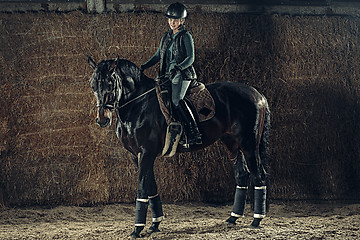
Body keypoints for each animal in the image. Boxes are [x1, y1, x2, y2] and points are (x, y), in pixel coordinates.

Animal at [88, 56, 270, 238]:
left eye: (110, 83)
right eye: (93, 85)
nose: (102, 119)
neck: (138, 104)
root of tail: (258, 95)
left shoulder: (146, 153)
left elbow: (142, 188)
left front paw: (137, 229)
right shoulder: (137, 155)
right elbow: (151, 186)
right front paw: (155, 224)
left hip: (249, 145)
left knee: (258, 175)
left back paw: (256, 220)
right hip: (232, 144)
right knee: (242, 175)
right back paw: (233, 218)